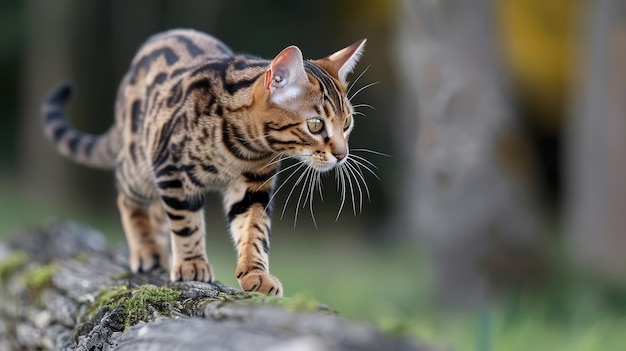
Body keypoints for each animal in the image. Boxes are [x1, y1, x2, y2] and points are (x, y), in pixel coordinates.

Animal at [41, 29, 368, 296]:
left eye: (347, 123)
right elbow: (186, 223)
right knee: (128, 197)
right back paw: (147, 248)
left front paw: (256, 273)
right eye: (315, 125)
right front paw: (191, 263)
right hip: (139, 160)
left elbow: (254, 230)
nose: (342, 154)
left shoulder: (254, 185)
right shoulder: (171, 170)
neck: (245, 147)